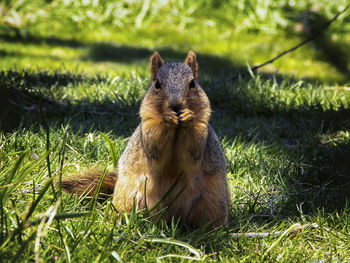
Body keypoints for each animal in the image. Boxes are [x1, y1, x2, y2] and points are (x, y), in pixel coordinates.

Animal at [60, 51, 230, 229]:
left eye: (192, 83)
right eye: (157, 84)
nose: (176, 105)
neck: (177, 129)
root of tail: (172, 218)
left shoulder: (203, 130)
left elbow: (194, 149)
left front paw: (188, 116)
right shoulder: (147, 127)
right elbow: (155, 145)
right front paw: (167, 118)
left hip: (212, 202)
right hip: (130, 198)